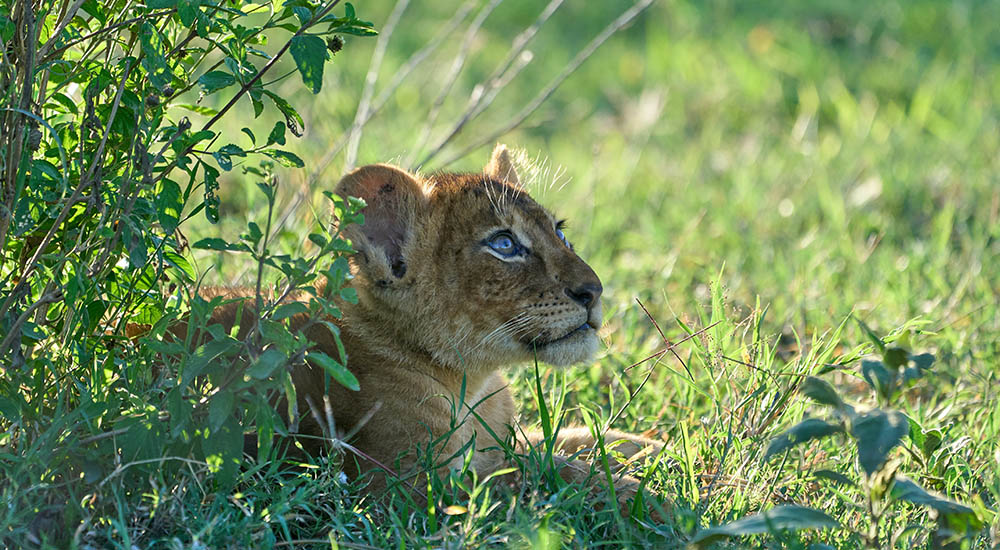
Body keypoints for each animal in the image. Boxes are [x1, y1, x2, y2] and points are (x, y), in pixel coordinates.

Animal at [200, 145, 666, 516]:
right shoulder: (407, 488)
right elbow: (540, 478)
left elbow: (549, 443)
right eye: (504, 244)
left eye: (560, 232)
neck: (472, 384)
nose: (594, 291)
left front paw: (643, 445)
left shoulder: (493, 442)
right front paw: (654, 501)